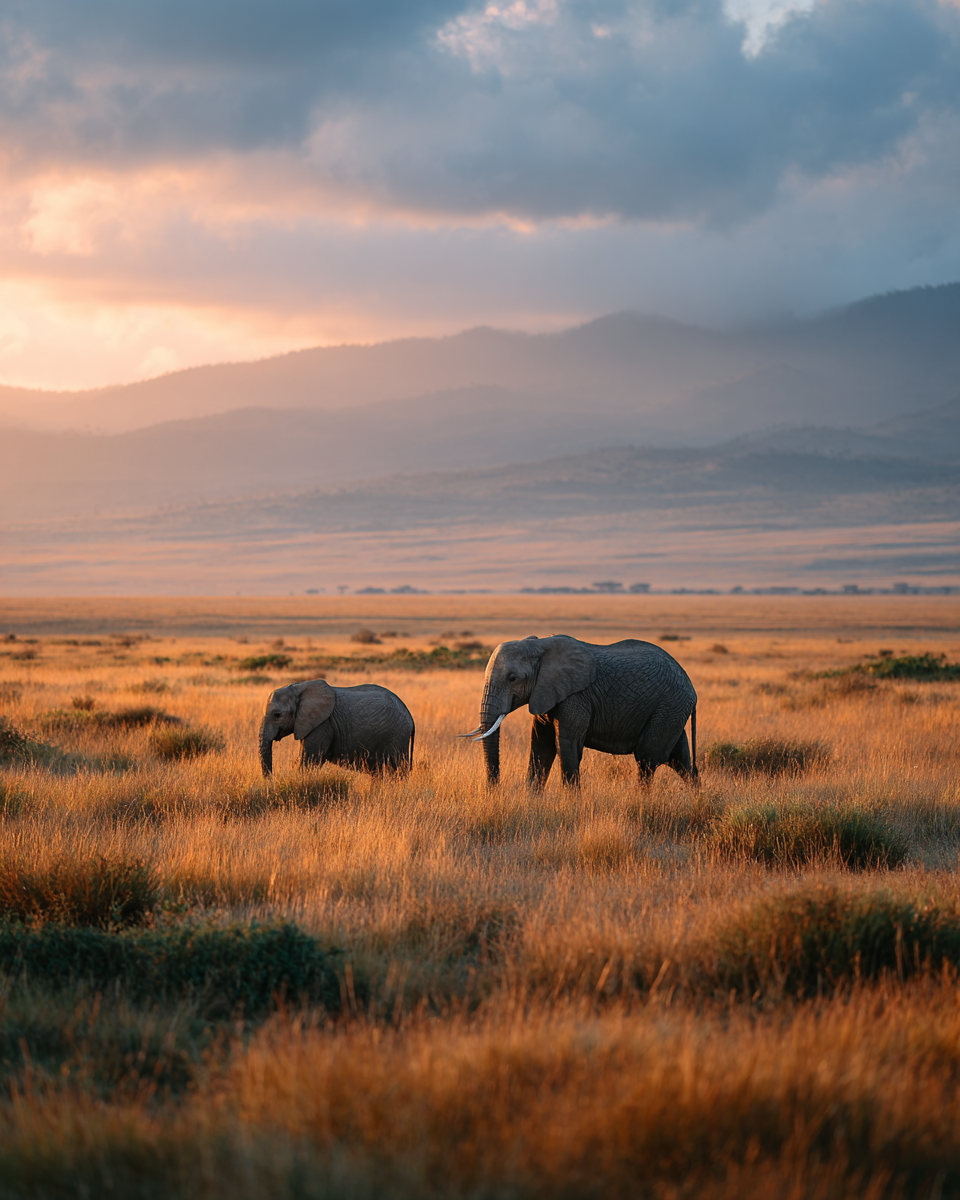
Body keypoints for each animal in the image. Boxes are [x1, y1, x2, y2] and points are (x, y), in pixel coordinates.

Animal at [259, 679, 414, 776]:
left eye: (277, 715)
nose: (273, 779)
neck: (299, 687)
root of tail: (411, 719)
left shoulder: (323, 725)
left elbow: (309, 761)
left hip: (396, 737)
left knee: (394, 771)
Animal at [464, 635, 697, 788]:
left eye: (512, 678)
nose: (494, 790)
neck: (538, 645)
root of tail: (691, 688)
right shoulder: (544, 694)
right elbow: (541, 746)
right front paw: (531, 804)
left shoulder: (575, 698)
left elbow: (567, 746)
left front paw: (571, 806)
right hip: (673, 709)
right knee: (681, 760)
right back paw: (697, 798)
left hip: (669, 705)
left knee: (647, 759)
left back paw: (641, 801)